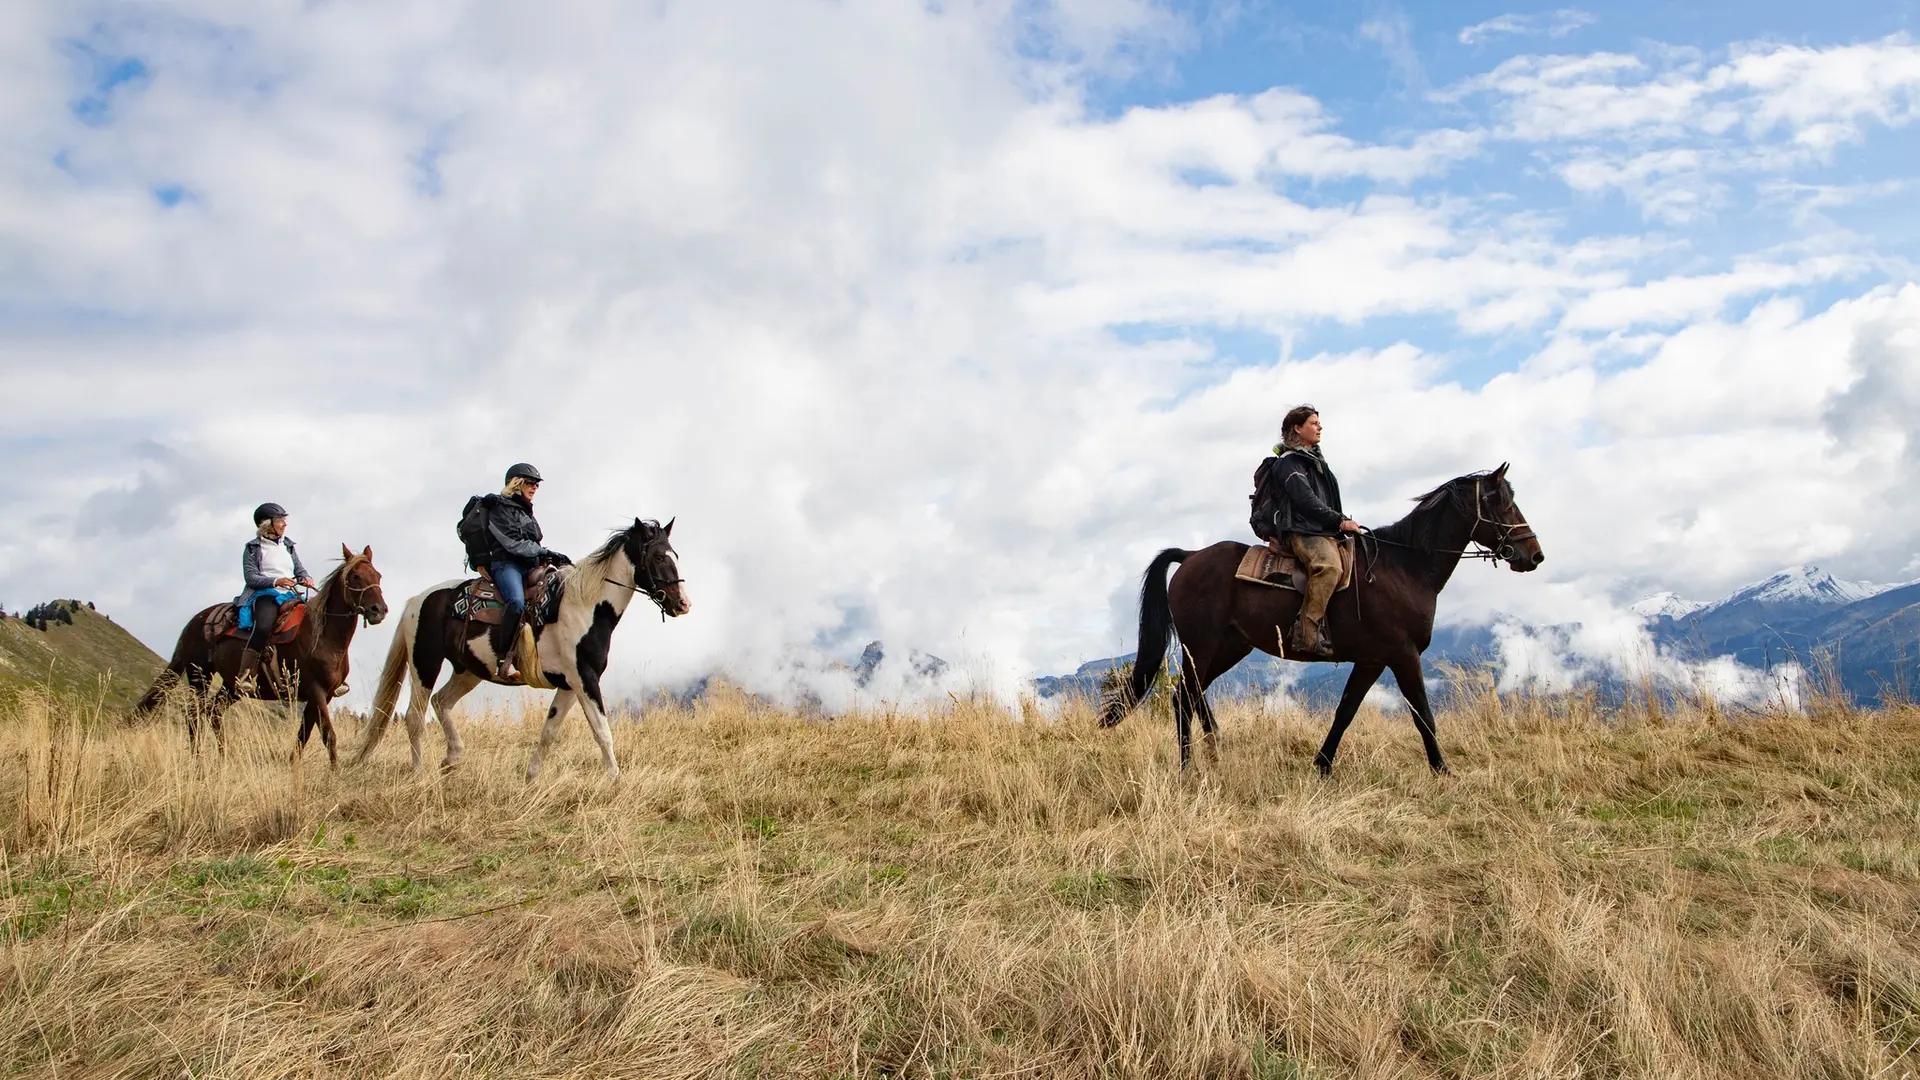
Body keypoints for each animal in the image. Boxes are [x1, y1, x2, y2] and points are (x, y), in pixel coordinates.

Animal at [136, 545, 390, 766]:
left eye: (377, 575)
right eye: (355, 576)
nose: (379, 610)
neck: (323, 635)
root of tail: (195, 621)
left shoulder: (323, 695)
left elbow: (304, 735)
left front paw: (292, 766)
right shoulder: (315, 690)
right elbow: (328, 734)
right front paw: (334, 772)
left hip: (232, 686)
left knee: (214, 712)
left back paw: (224, 757)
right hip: (200, 676)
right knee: (194, 716)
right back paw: (198, 761)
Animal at [353, 517, 690, 780]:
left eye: (674, 554)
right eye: (659, 558)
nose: (682, 604)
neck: (583, 605)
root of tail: (415, 601)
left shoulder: (569, 684)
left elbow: (550, 731)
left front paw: (532, 776)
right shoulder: (585, 678)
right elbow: (601, 730)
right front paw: (615, 778)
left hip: (468, 671)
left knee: (441, 702)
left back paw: (453, 757)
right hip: (425, 663)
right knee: (415, 716)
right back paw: (419, 772)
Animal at [1101, 465, 1544, 775]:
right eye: (1504, 503)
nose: (1533, 554)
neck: (1405, 566)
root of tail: (1190, 557)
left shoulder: (1372, 660)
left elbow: (1346, 711)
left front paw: (1323, 765)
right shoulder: (1403, 656)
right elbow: (1422, 713)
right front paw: (1442, 769)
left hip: (1229, 646)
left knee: (1192, 697)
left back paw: (1215, 752)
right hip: (1203, 644)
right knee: (1183, 698)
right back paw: (1188, 767)